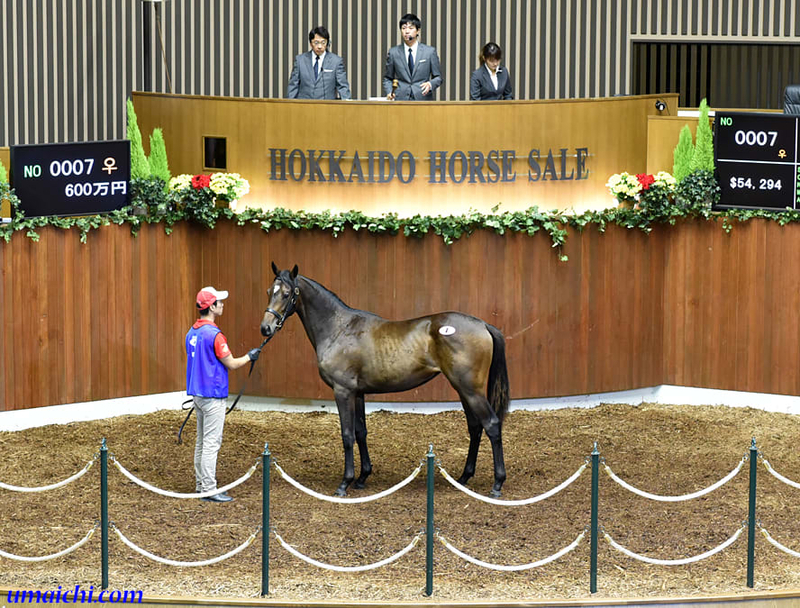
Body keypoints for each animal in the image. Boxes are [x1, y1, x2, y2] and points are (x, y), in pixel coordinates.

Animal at [261, 263, 510, 497]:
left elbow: (347, 435)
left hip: (470, 390)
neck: (339, 328)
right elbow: (361, 432)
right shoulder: (358, 393)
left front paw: (345, 483)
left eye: (286, 294)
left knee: (492, 424)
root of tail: (483, 325)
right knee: (475, 427)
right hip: (463, 390)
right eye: (269, 291)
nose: (266, 328)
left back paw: (497, 484)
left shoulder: (342, 391)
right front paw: (362, 477)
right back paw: (464, 478)